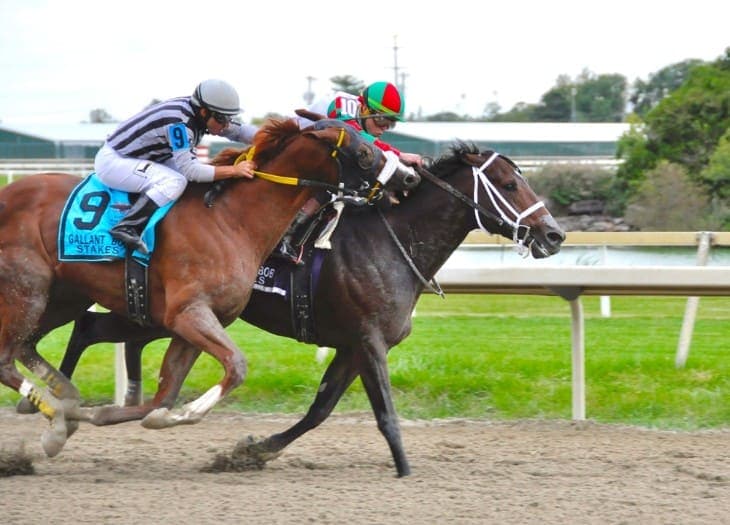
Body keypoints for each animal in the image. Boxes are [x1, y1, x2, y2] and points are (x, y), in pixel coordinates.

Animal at [0, 118, 401, 458]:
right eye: (365, 153)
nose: (406, 179)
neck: (231, 219)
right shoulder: (189, 313)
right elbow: (236, 367)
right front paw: (187, 413)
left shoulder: (198, 322)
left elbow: (165, 395)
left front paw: (153, 415)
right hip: (28, 288)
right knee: (7, 359)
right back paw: (56, 423)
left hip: (63, 296)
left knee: (28, 345)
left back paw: (65, 400)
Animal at [39, 143, 565, 476]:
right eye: (508, 184)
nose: (554, 234)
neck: (391, 242)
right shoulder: (369, 340)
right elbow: (385, 413)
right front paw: (405, 470)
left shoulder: (352, 346)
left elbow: (320, 410)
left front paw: (252, 452)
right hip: (172, 311)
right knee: (88, 328)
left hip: (163, 315)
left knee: (95, 329)